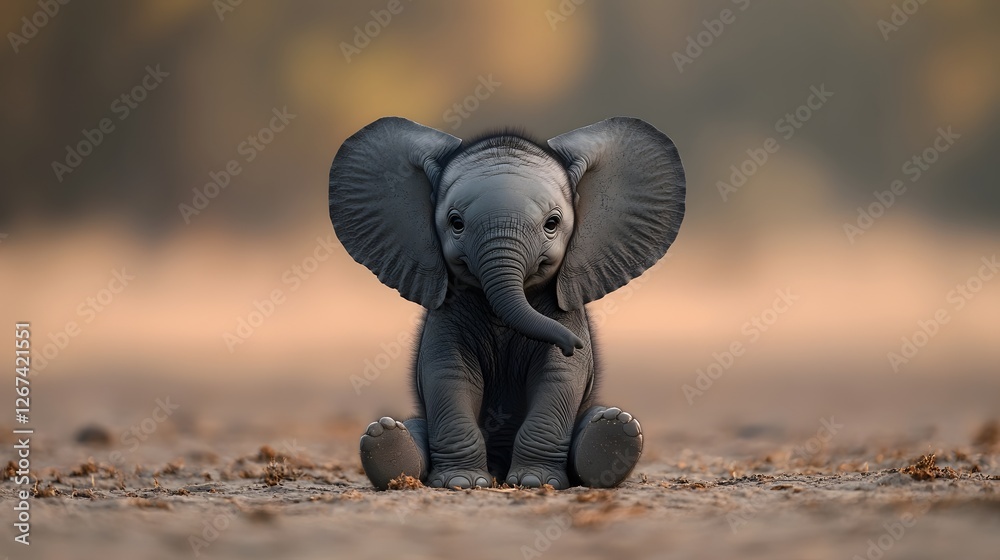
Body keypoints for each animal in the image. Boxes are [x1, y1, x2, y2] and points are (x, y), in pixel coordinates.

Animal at [328, 116, 685, 490]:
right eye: (456, 223)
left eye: (552, 224)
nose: (571, 344)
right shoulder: (447, 315)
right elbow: (449, 374)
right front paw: (462, 483)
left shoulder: (563, 309)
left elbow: (559, 377)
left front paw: (533, 482)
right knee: (403, 425)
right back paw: (386, 440)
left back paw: (613, 434)